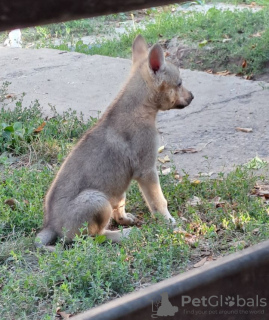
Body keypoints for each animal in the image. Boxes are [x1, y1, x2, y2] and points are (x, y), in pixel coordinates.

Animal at [35, 35, 193, 250]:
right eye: (179, 83)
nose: (192, 96)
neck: (139, 109)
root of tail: (50, 226)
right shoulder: (147, 170)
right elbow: (159, 202)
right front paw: (170, 223)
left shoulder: (127, 181)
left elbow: (126, 203)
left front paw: (129, 219)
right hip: (97, 200)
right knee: (93, 238)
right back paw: (125, 235)